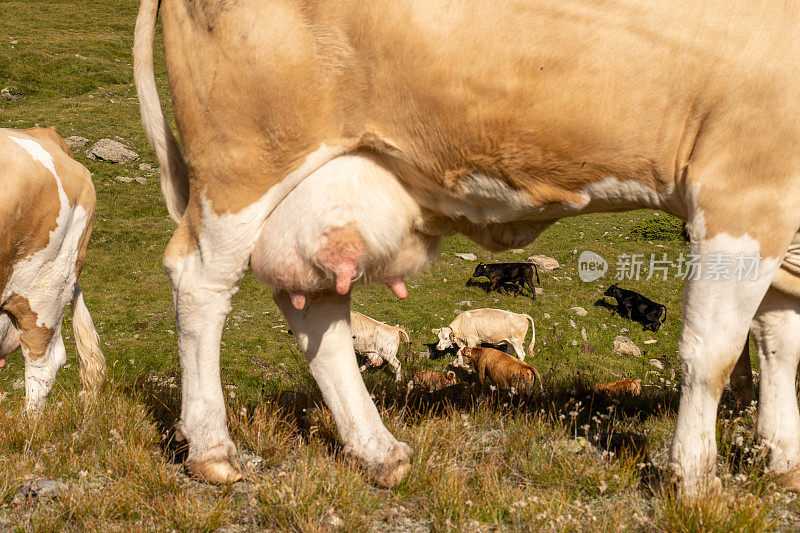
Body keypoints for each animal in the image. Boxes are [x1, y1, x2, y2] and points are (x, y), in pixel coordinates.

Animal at [138, 0, 800, 492]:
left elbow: (779, 349)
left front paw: (781, 463)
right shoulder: (742, 189)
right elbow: (712, 355)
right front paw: (694, 479)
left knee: (316, 309)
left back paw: (378, 451)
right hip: (241, 165)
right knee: (199, 280)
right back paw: (213, 451)